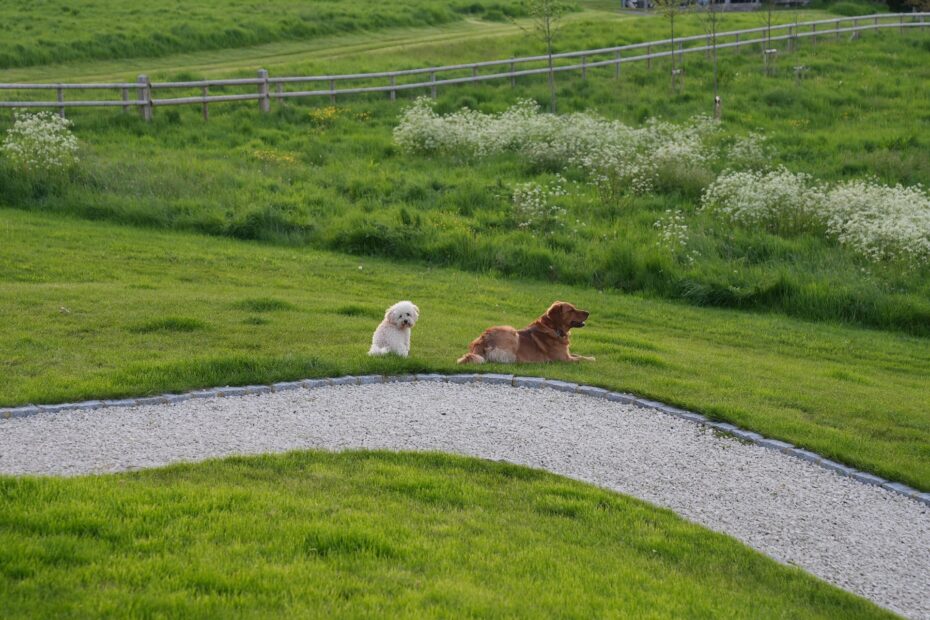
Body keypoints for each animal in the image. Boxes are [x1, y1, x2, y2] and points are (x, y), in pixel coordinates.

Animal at [456, 300, 596, 364]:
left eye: (574, 308)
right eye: (571, 310)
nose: (588, 312)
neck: (553, 328)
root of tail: (482, 341)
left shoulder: (567, 355)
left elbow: (578, 354)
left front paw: (589, 356)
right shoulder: (563, 359)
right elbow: (580, 359)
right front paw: (591, 359)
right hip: (512, 332)